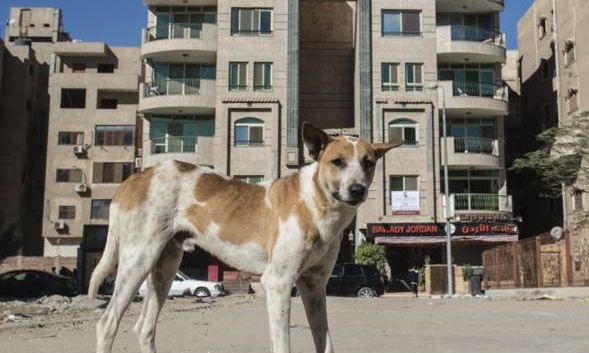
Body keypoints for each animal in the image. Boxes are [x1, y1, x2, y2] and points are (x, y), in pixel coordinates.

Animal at [87, 121, 400, 352]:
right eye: (337, 161)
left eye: (368, 162)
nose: (358, 190)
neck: (315, 202)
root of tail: (134, 178)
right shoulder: (278, 283)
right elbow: (282, 345)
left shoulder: (314, 286)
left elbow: (325, 344)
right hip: (138, 260)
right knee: (106, 323)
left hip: (164, 268)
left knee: (145, 328)